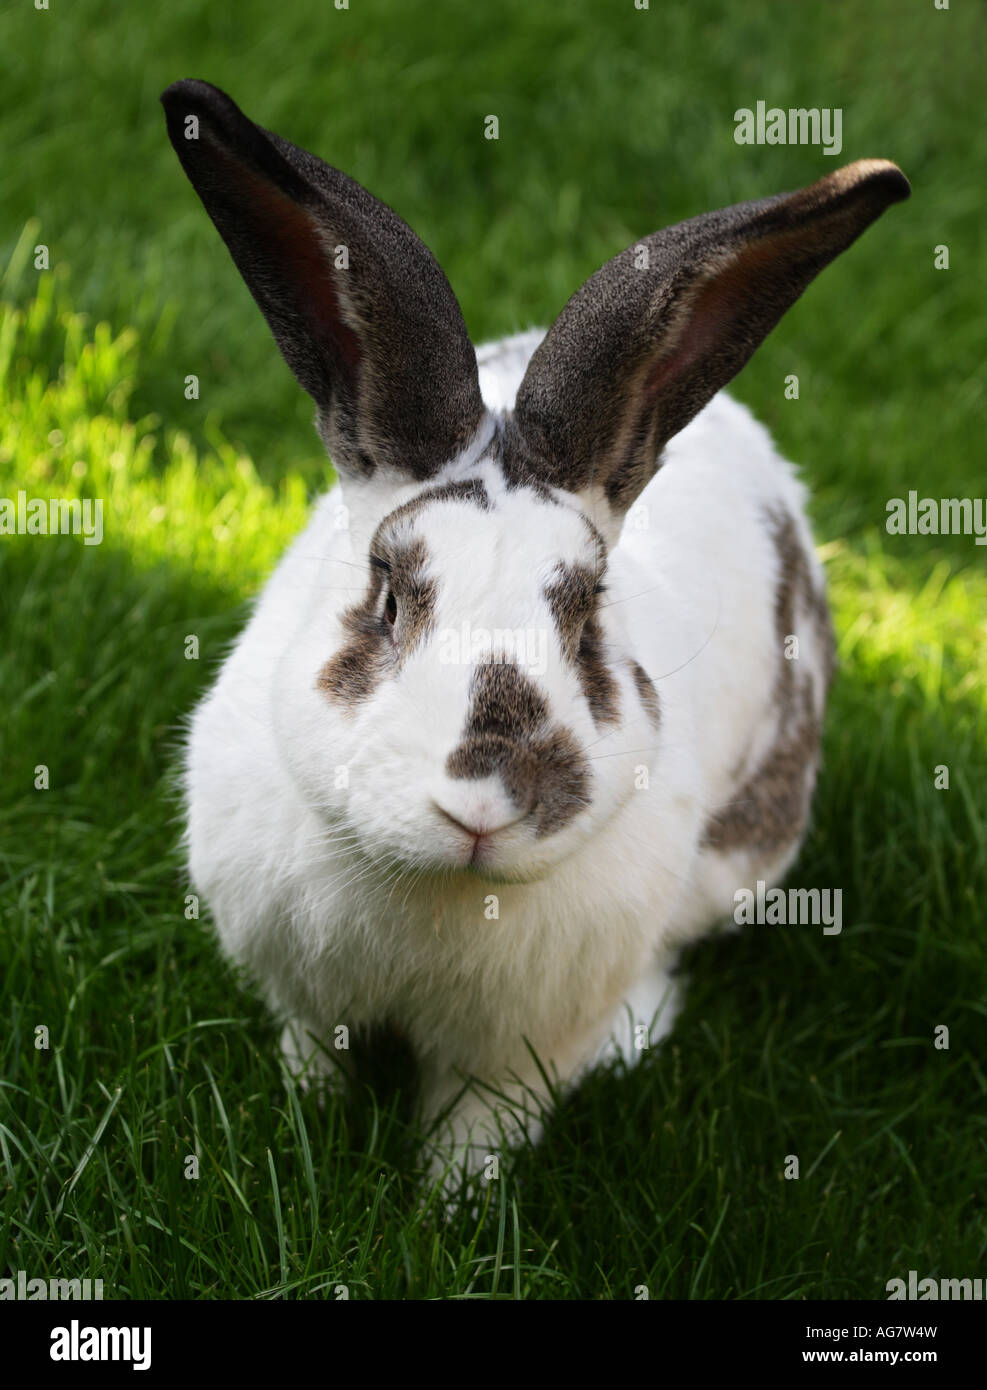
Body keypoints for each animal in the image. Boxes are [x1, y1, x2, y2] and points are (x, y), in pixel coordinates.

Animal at [162, 78, 911, 1184]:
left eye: (586, 614)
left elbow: (475, 1137)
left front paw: (452, 1209)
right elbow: (313, 1063)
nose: (485, 802)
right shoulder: (301, 996)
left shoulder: (515, 1058)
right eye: (391, 598)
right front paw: (306, 1127)